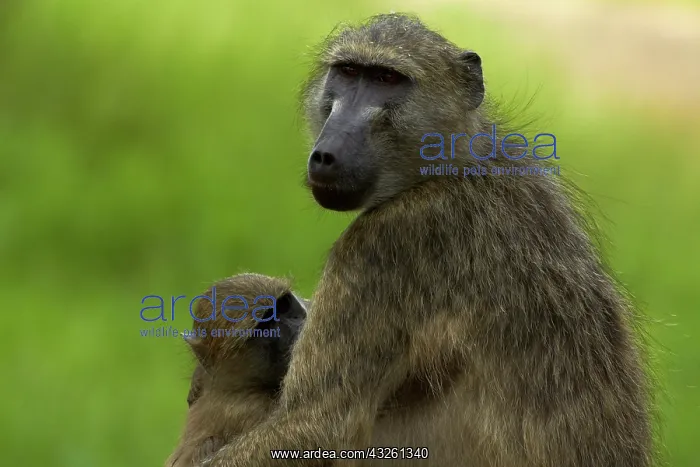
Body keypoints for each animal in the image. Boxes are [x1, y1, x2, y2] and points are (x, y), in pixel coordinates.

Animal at [200, 13, 655, 467]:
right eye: (347, 73)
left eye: (387, 79)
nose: (326, 154)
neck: (451, 167)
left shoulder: (385, 244)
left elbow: (314, 425)